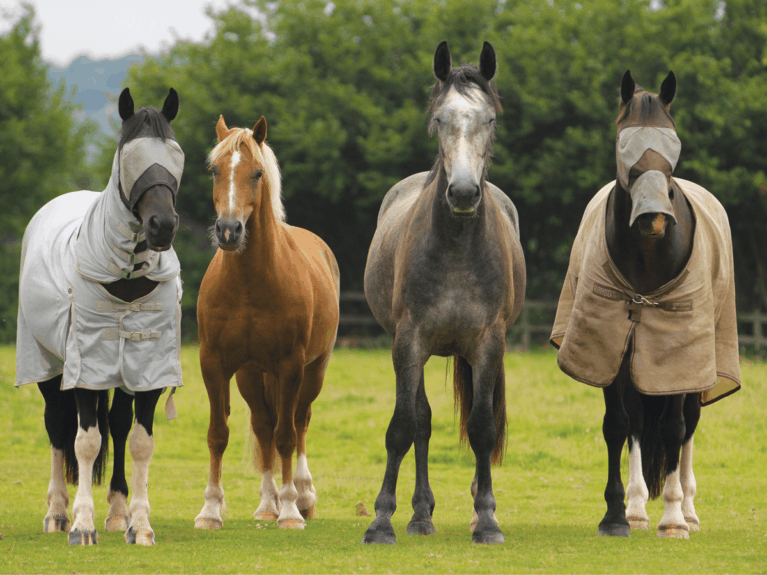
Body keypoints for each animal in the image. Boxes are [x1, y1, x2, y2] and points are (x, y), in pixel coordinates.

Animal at [15, 88, 186, 548]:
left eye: (175, 154)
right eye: (130, 156)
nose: (162, 225)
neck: (125, 278)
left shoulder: (148, 366)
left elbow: (139, 441)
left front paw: (138, 524)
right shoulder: (84, 367)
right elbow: (86, 441)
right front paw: (81, 525)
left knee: (119, 425)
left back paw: (117, 511)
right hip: (48, 363)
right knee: (58, 427)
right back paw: (57, 513)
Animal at [195, 115, 340, 532]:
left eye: (257, 173)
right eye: (214, 170)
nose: (229, 231)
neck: (249, 284)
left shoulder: (291, 366)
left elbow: (287, 437)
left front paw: (290, 511)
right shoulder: (214, 364)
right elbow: (218, 434)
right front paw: (210, 510)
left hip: (313, 370)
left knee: (300, 422)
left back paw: (302, 496)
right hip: (251, 375)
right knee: (263, 427)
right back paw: (265, 504)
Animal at [364, 40, 524, 544]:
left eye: (489, 118)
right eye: (439, 118)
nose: (465, 193)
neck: (456, 248)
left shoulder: (489, 343)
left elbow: (483, 427)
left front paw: (487, 519)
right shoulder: (408, 341)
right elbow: (403, 426)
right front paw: (381, 521)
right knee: (422, 421)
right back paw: (419, 514)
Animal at [548, 72, 740, 540]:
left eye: (674, 141)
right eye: (623, 141)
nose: (654, 218)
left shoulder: (678, 355)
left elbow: (673, 429)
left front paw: (673, 520)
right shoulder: (608, 347)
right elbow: (619, 425)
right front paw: (617, 515)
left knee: (688, 428)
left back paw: (688, 510)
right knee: (637, 423)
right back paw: (637, 509)